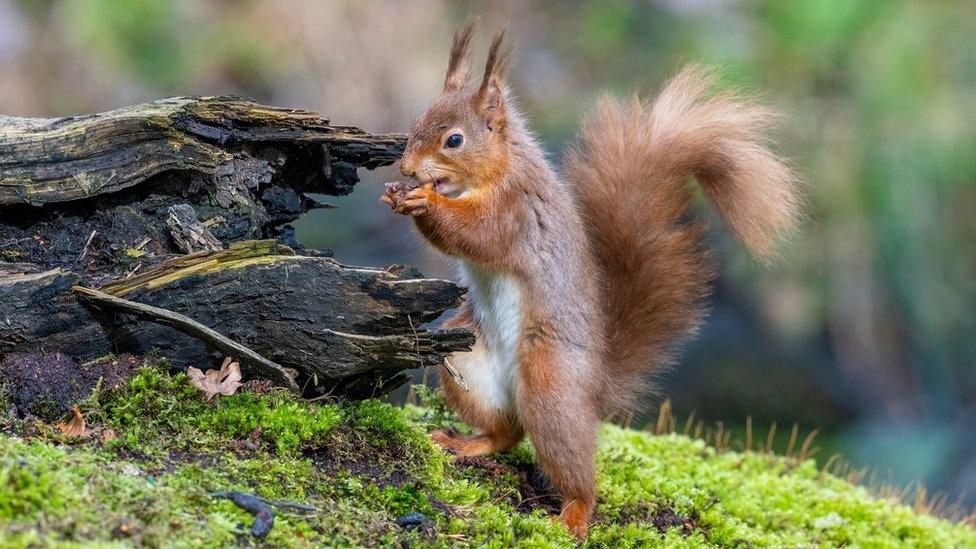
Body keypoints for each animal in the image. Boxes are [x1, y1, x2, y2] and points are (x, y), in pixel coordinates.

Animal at [378, 22, 796, 540]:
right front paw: (396, 194)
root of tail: (596, 383)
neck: (493, 171)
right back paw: (468, 444)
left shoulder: (516, 212)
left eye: (454, 140)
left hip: (551, 383)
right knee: (507, 433)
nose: (407, 169)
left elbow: (477, 234)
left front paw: (424, 201)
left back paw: (574, 515)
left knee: (571, 466)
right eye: (417, 120)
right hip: (468, 361)